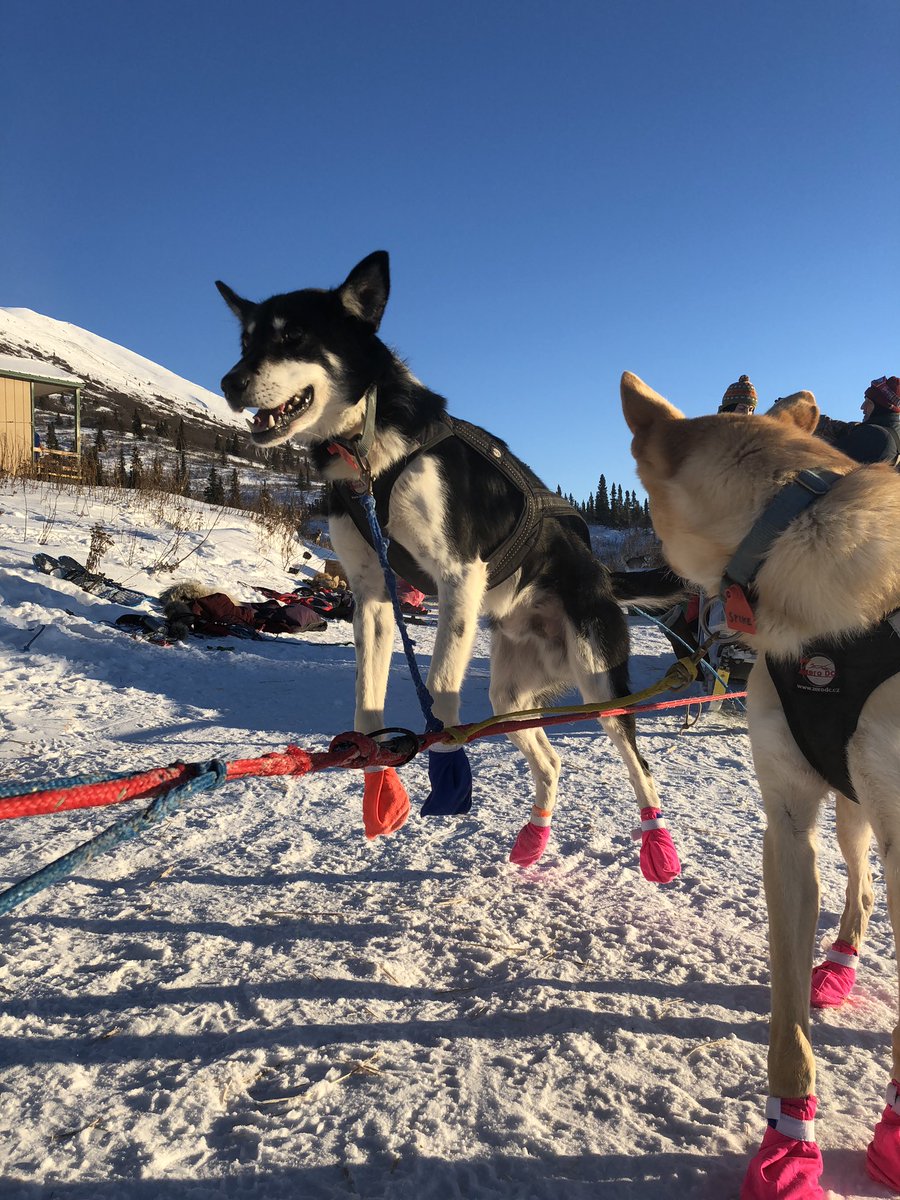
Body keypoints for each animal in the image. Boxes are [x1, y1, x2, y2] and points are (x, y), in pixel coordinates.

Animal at [218, 248, 681, 878]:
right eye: (245, 342)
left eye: (294, 336)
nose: (229, 382)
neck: (369, 458)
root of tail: (603, 575)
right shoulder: (373, 596)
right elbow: (366, 690)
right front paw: (373, 766)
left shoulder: (460, 576)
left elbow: (438, 683)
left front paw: (442, 756)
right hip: (510, 698)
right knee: (551, 760)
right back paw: (534, 837)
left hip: (600, 681)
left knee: (640, 765)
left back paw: (657, 845)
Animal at [624, 372, 900, 1200]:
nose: (629, 576)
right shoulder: (789, 822)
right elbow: (786, 1021)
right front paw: (789, 1141)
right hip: (850, 813)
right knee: (860, 891)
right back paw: (836, 970)